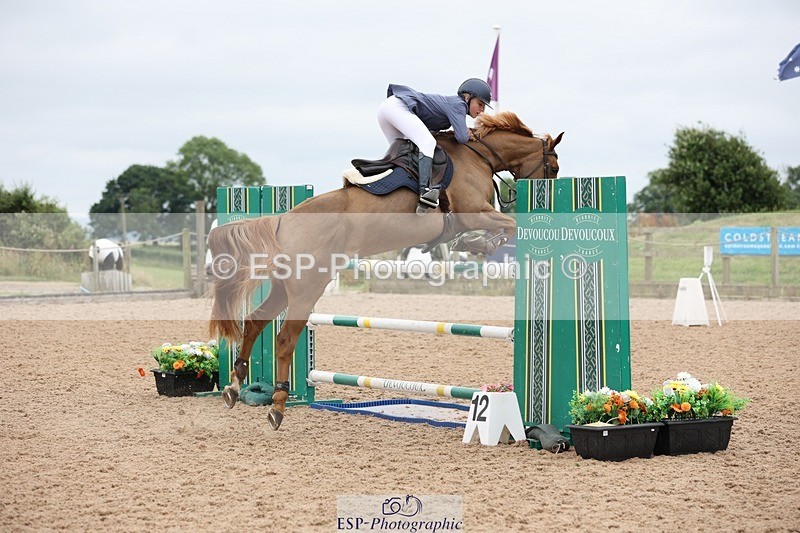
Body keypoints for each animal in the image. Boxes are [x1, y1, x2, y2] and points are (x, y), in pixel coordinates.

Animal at [208, 111, 563, 429]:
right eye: (554, 167)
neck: (478, 156)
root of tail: (281, 220)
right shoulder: (474, 212)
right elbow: (508, 226)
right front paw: (485, 243)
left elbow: (497, 231)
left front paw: (481, 245)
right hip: (308, 289)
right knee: (284, 339)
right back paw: (278, 405)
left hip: (284, 288)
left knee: (255, 322)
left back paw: (234, 388)